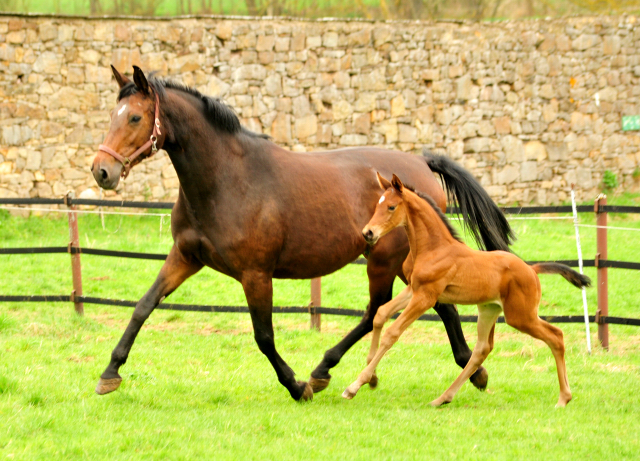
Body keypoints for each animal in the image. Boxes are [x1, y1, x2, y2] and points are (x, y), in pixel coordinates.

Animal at [90, 66, 512, 400]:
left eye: (135, 118)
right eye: (112, 115)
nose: (101, 171)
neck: (226, 180)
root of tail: (421, 163)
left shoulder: (256, 274)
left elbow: (263, 336)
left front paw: (296, 386)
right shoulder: (185, 257)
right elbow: (143, 306)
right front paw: (110, 374)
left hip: (385, 260)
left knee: (378, 310)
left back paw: (325, 371)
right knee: (431, 306)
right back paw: (471, 371)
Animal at [342, 173, 592, 406]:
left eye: (391, 207)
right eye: (377, 205)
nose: (368, 233)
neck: (433, 247)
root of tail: (532, 269)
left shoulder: (426, 296)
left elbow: (392, 332)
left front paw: (355, 385)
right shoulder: (413, 289)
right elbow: (381, 314)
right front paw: (371, 377)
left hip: (520, 316)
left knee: (556, 336)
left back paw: (564, 398)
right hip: (489, 310)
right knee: (482, 349)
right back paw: (443, 398)